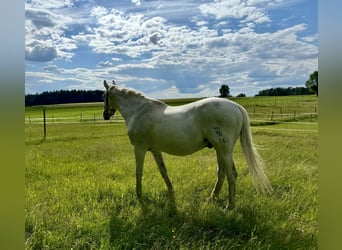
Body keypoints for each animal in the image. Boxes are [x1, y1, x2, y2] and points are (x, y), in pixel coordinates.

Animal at [102, 79, 272, 210]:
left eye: (104, 95)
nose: (105, 115)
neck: (138, 110)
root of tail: (236, 107)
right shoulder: (155, 150)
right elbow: (163, 171)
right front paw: (172, 193)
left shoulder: (139, 148)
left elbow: (138, 172)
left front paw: (139, 196)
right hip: (219, 150)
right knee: (221, 173)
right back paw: (211, 199)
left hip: (224, 150)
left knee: (232, 174)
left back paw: (229, 206)